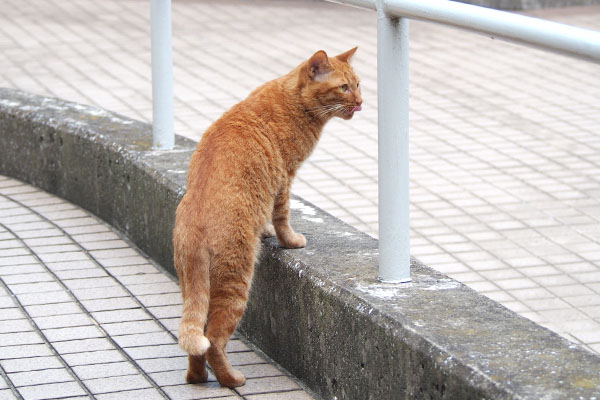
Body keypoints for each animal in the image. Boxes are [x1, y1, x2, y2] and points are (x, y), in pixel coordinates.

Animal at [173, 47, 360, 388]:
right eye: (344, 87)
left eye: (358, 84)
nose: (361, 101)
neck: (293, 101)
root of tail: (194, 220)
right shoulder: (285, 177)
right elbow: (282, 215)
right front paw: (290, 240)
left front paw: (266, 232)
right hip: (236, 281)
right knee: (213, 339)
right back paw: (231, 379)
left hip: (193, 283)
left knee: (196, 342)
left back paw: (197, 377)